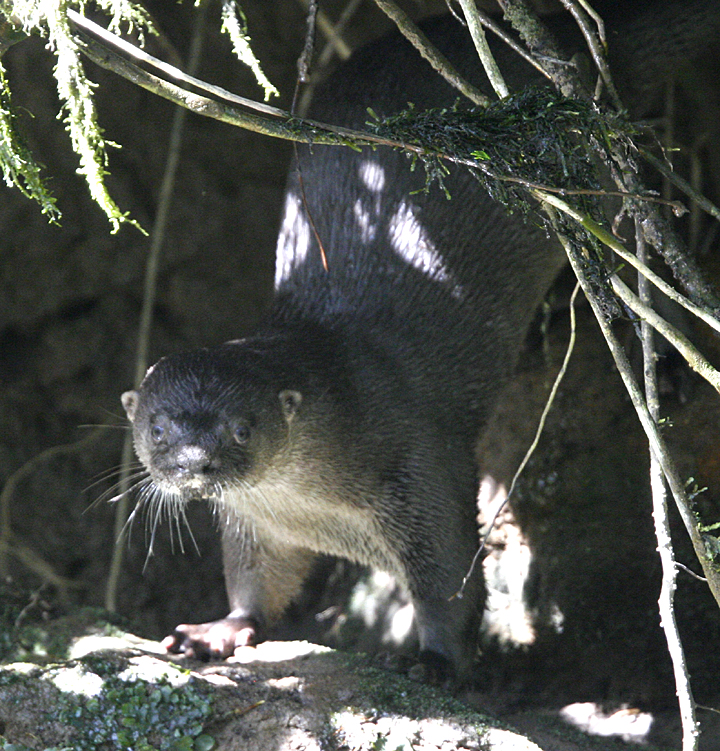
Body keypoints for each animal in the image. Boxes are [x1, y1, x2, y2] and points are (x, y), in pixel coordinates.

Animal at [122, 1, 720, 680]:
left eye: (242, 428)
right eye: (158, 428)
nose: (194, 463)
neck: (320, 509)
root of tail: (566, 40)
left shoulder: (420, 466)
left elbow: (450, 581)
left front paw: (435, 662)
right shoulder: (258, 524)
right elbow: (254, 579)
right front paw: (217, 631)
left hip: (595, 184)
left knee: (642, 253)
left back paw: (664, 365)